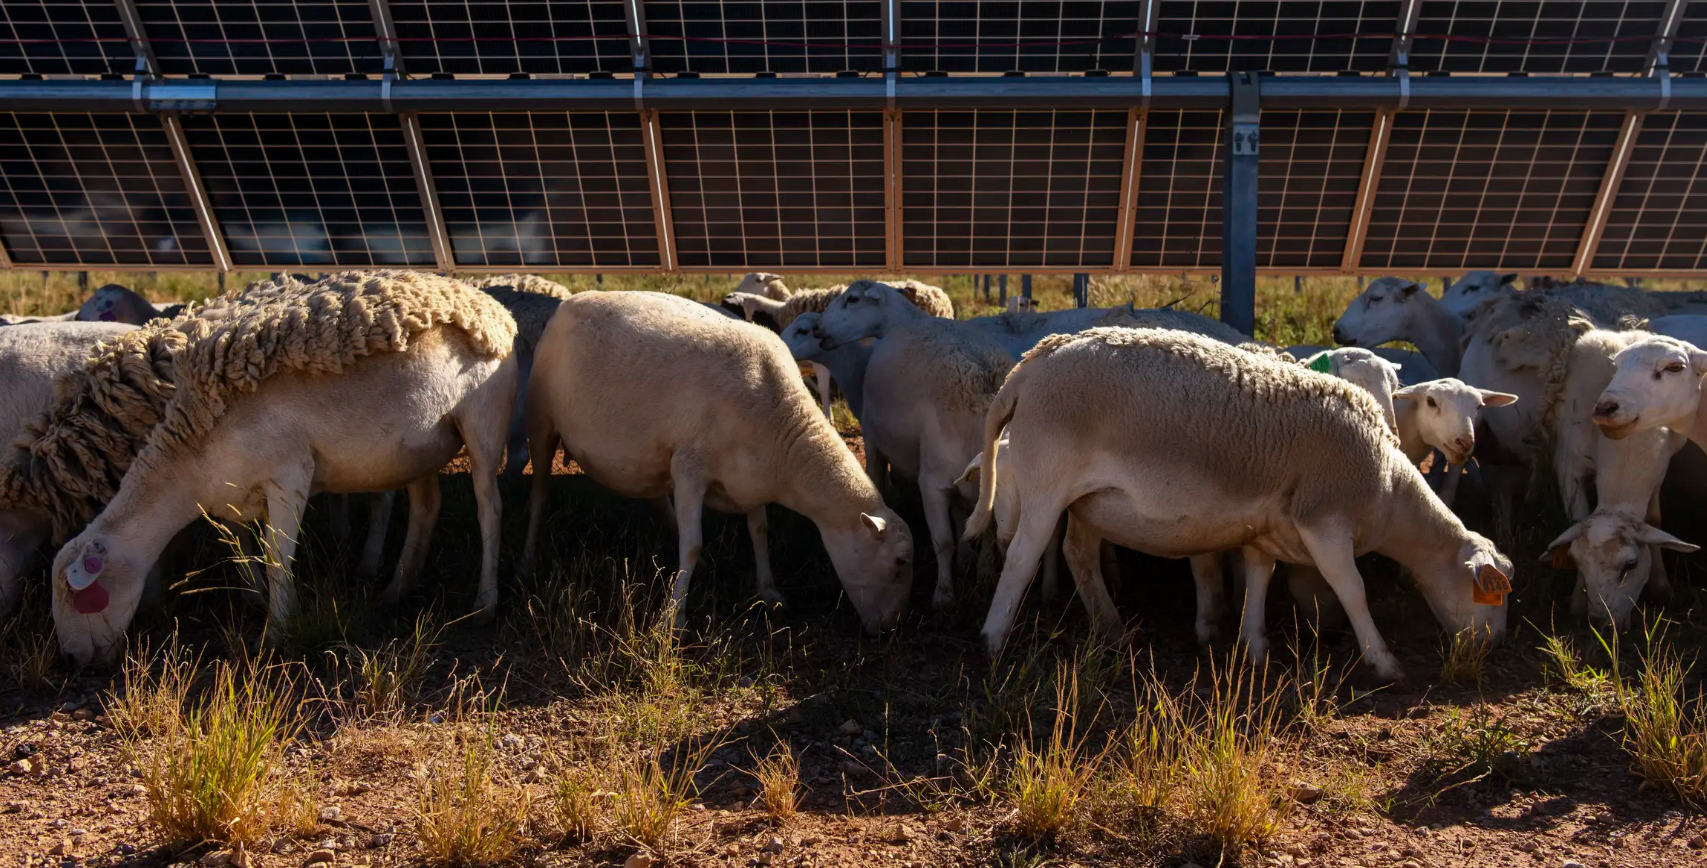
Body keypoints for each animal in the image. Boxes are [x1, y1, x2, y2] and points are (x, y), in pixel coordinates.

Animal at [50, 271, 518, 666]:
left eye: (77, 595)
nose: (74, 660)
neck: (192, 455)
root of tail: (489, 303)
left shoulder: (289, 473)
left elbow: (278, 556)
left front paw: (275, 631)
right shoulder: (234, 492)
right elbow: (240, 547)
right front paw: (254, 597)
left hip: (483, 422)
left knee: (489, 508)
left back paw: (485, 603)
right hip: (422, 444)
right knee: (426, 508)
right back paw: (397, 588)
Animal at [520, 290, 914, 631]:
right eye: (899, 563)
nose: (890, 628)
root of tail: (571, 299)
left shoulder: (750, 480)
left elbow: (759, 531)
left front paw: (770, 593)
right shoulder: (689, 470)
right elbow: (693, 545)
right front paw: (673, 619)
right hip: (540, 417)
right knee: (538, 494)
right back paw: (529, 559)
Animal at [816, 280, 1013, 610]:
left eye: (852, 300)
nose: (818, 327)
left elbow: (984, 531)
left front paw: (984, 577)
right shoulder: (932, 483)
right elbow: (943, 542)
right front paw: (944, 594)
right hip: (878, 441)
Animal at [964, 327, 1512, 680]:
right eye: (1493, 595)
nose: (1490, 649)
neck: (1388, 488)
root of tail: (1031, 363)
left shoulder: (1268, 527)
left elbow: (1258, 579)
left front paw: (1254, 646)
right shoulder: (1324, 519)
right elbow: (1351, 588)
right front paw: (1382, 661)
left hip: (1089, 501)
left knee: (1080, 554)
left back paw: (1113, 630)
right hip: (1047, 485)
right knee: (1022, 558)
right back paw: (992, 640)